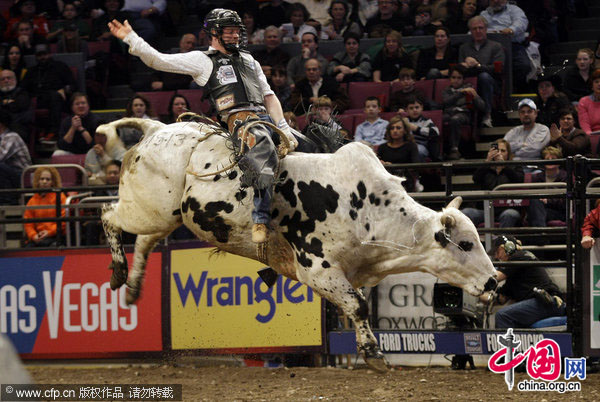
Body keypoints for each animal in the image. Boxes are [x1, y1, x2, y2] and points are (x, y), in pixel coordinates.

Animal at [101, 117, 500, 370]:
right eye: (466, 244)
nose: (495, 281)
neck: (367, 206)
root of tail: (157, 130)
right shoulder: (318, 270)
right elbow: (357, 306)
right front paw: (373, 354)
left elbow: (355, 305)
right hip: (148, 209)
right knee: (109, 215)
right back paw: (119, 272)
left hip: (163, 216)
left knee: (144, 241)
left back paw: (133, 288)